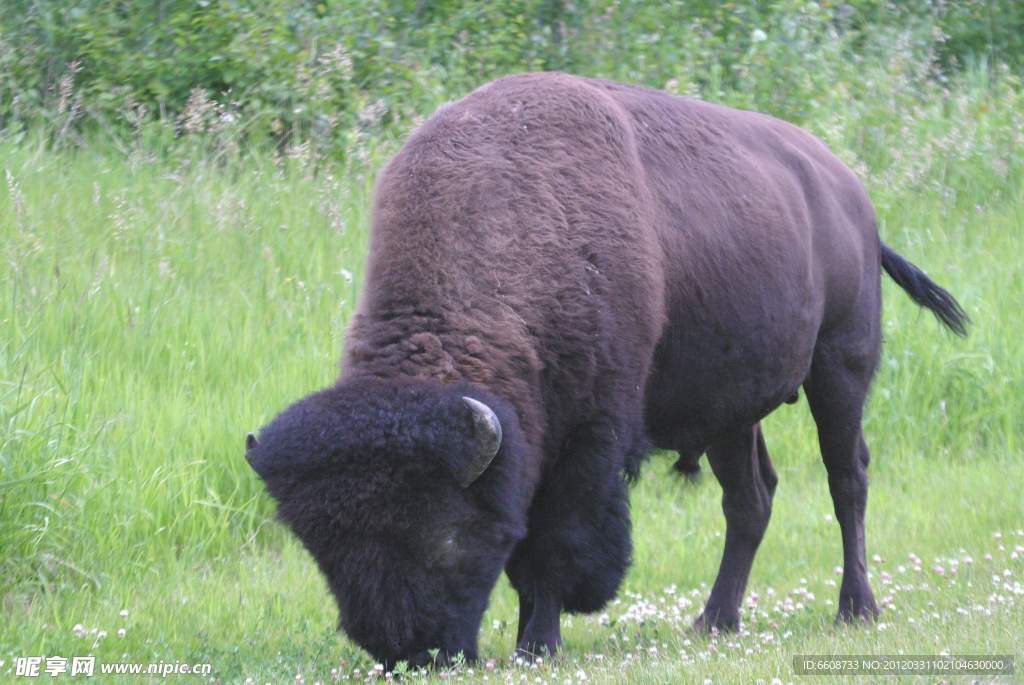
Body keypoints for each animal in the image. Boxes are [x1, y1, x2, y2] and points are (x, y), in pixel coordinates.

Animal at [243, 72, 962, 671]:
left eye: (447, 533)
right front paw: (532, 638)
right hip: (733, 410)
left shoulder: (588, 438)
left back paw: (856, 609)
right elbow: (529, 549)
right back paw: (714, 621)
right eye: (322, 548)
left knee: (848, 479)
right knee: (750, 500)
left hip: (840, 367)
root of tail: (851, 195)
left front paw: (538, 644)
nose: (411, 653)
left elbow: (554, 543)